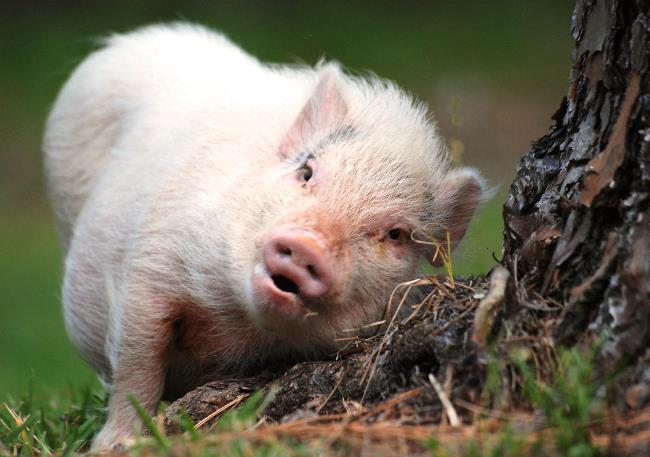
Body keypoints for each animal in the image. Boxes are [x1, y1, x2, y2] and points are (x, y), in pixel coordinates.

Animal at [43, 23, 484, 450]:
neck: (240, 322)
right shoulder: (149, 265)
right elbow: (138, 364)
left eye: (395, 234)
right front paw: (115, 444)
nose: (307, 245)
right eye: (306, 172)